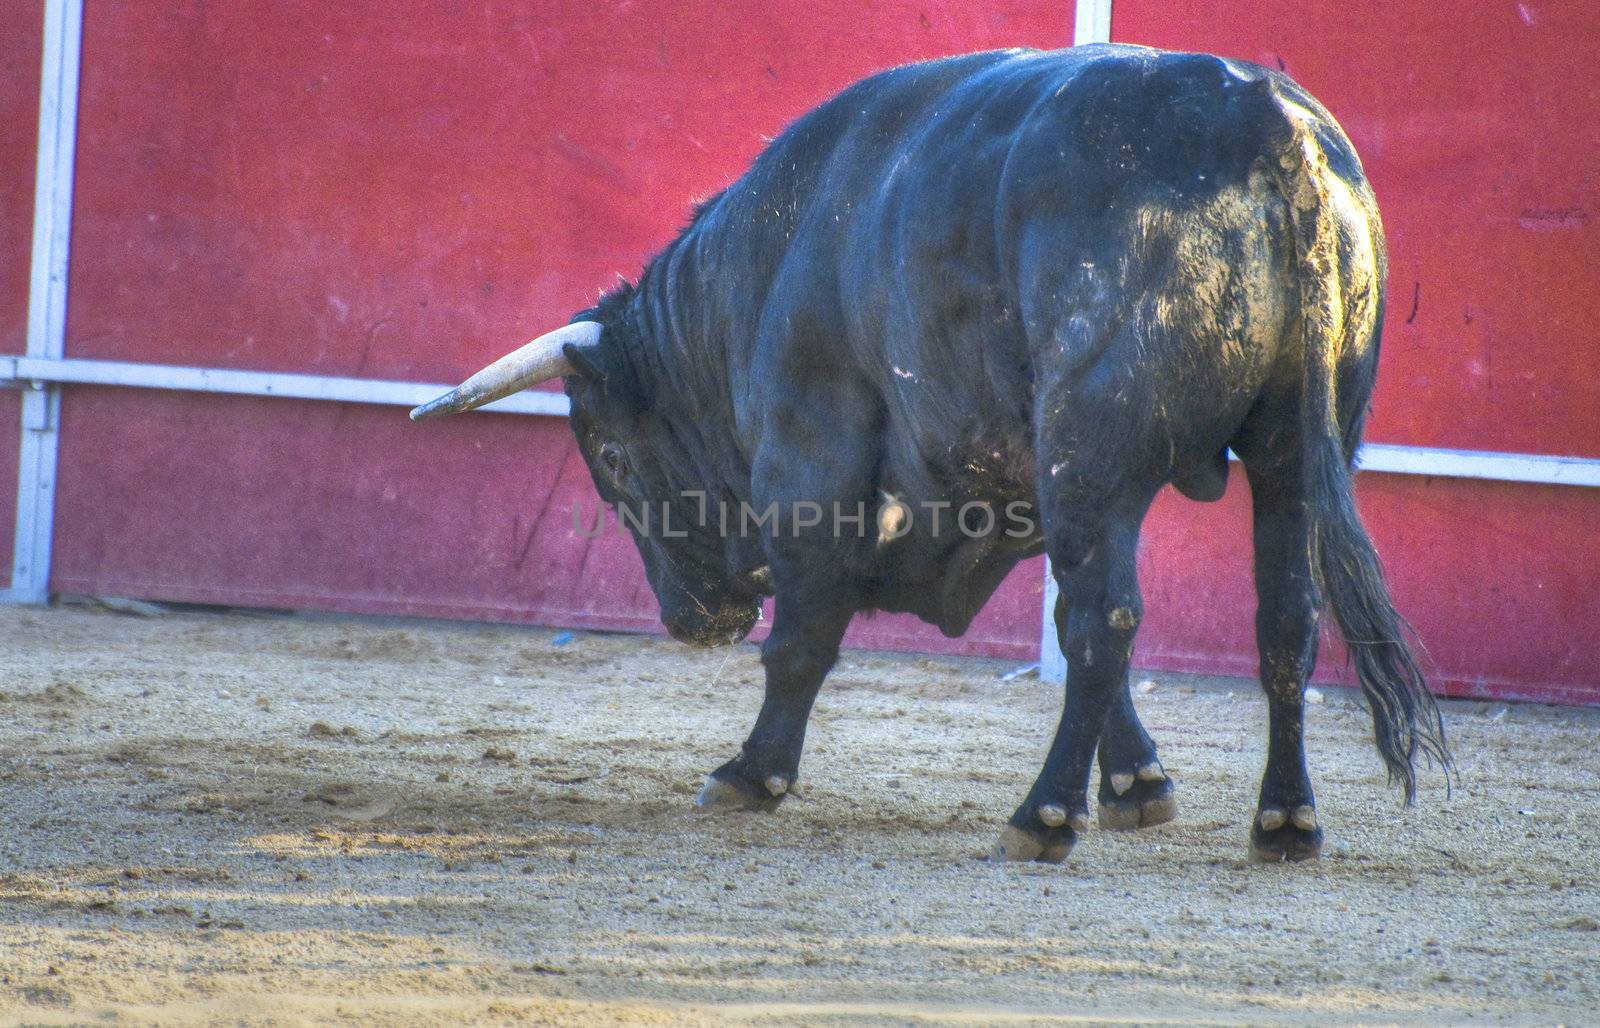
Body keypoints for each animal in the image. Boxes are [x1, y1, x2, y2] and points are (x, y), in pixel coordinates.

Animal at [412, 50, 1452, 864]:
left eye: (614, 462)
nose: (693, 620)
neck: (765, 269)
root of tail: (1262, 121)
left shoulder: (812, 460)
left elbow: (804, 631)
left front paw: (752, 773)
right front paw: (1138, 784)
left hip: (1094, 452)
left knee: (1104, 618)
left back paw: (1041, 817)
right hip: (1293, 450)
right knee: (1279, 619)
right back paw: (1286, 822)